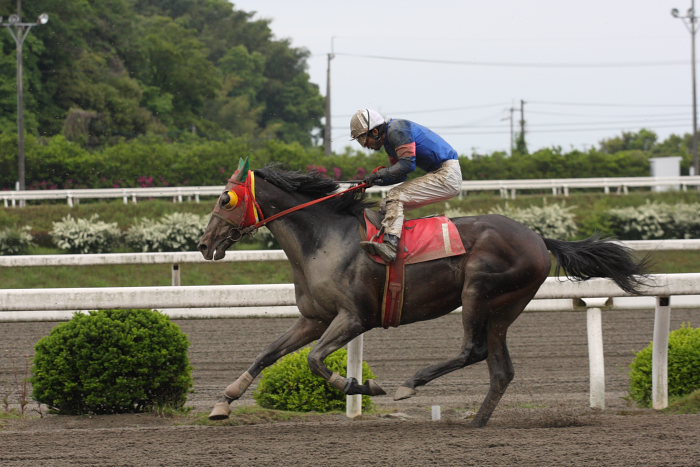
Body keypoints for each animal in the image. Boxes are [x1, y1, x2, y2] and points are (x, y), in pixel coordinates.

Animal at [196, 162, 644, 428]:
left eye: (225, 198)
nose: (203, 244)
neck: (325, 241)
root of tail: (538, 238)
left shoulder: (354, 317)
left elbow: (315, 361)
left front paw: (362, 386)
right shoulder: (314, 318)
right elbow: (267, 353)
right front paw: (223, 403)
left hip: (479, 291)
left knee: (473, 350)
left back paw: (410, 384)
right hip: (505, 308)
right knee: (501, 368)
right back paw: (476, 420)